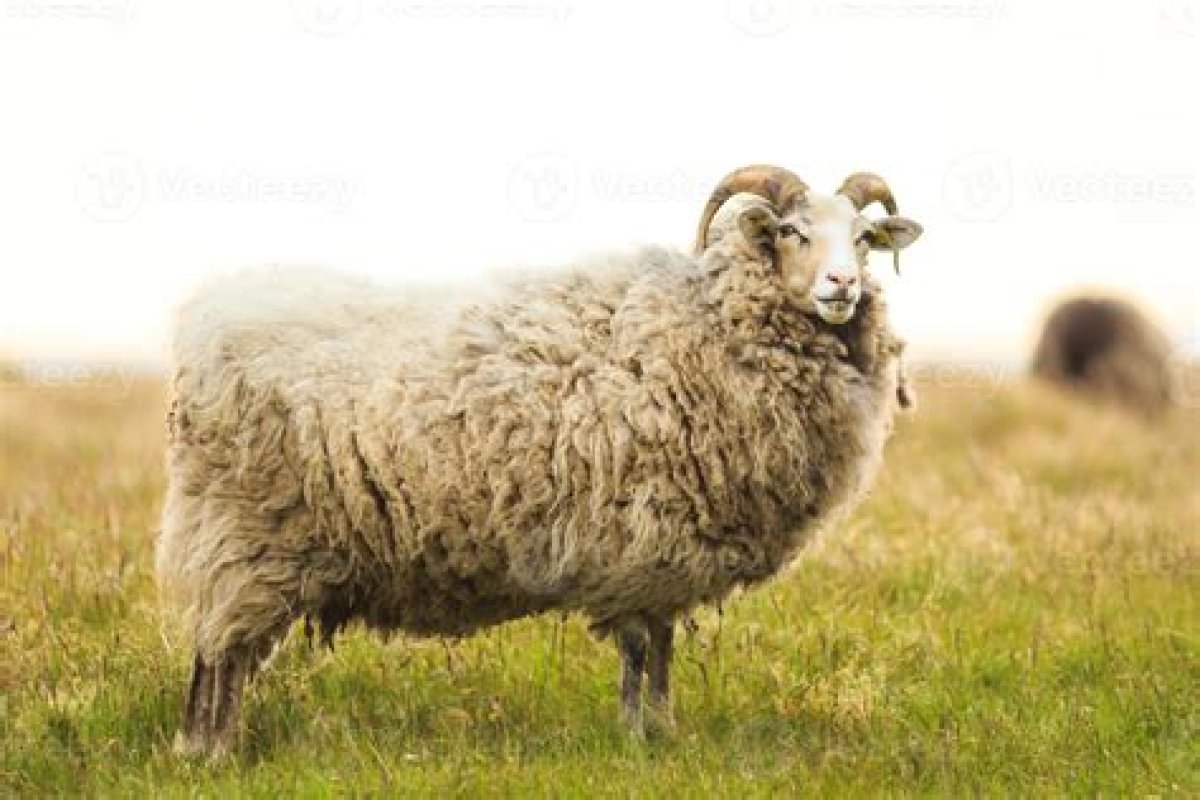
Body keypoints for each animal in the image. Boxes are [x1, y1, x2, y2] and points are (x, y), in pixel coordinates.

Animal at [157, 175, 922, 757]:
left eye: (863, 239)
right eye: (791, 231)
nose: (842, 285)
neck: (706, 320)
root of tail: (200, 325)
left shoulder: (663, 556)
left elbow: (659, 650)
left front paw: (659, 731)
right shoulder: (643, 542)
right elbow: (643, 649)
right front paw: (642, 739)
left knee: (227, 649)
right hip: (247, 532)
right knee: (216, 652)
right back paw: (206, 750)